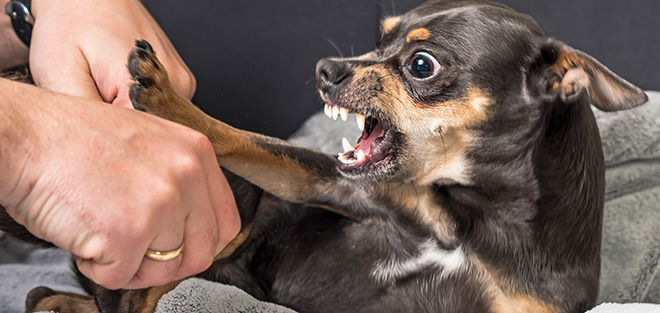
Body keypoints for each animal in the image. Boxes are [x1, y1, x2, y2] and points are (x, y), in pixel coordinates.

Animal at [3, 0, 648, 312]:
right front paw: (166, 99)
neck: (472, 220)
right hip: (238, 212)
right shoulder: (332, 186)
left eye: (421, 64)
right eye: (380, 38)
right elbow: (239, 137)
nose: (327, 69)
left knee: (62, 299)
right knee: (98, 300)